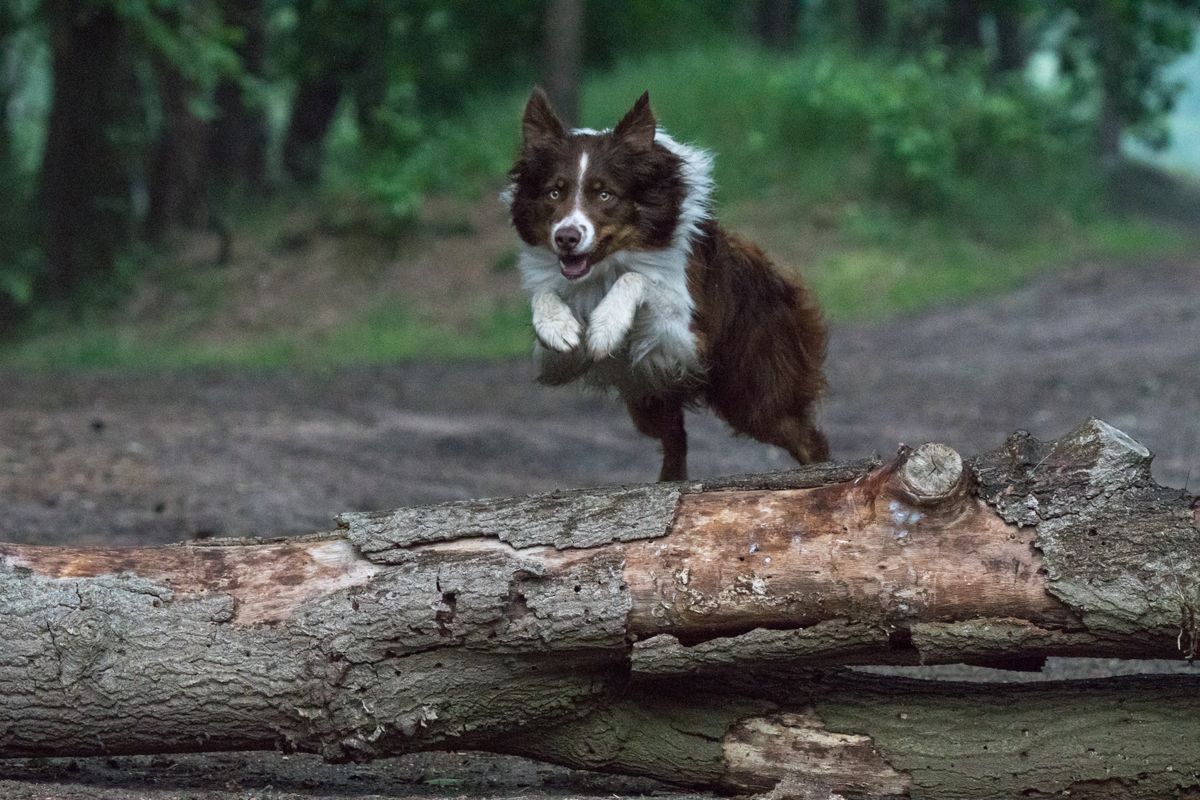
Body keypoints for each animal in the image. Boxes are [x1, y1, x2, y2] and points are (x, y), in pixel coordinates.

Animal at [504, 89, 825, 479]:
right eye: (554, 192)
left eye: (605, 194)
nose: (566, 238)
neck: (603, 269)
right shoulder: (558, 363)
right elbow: (547, 297)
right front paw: (559, 326)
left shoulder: (686, 339)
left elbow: (640, 278)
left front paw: (606, 326)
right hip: (648, 394)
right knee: (676, 442)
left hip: (754, 393)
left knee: (806, 436)